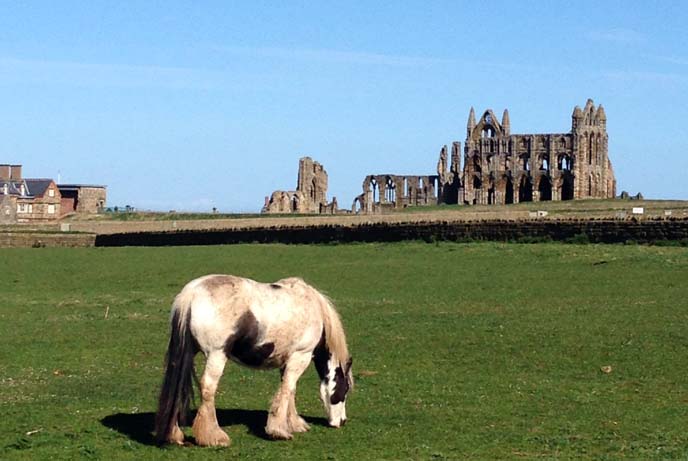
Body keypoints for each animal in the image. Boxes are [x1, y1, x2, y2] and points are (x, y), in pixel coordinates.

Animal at [155, 274, 354, 444]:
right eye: (344, 390)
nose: (342, 421)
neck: (314, 308)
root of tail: (192, 293)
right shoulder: (300, 356)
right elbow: (288, 388)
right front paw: (279, 431)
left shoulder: (287, 360)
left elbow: (289, 389)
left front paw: (293, 424)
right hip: (216, 355)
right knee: (208, 389)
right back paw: (214, 437)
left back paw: (174, 434)